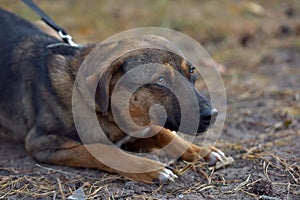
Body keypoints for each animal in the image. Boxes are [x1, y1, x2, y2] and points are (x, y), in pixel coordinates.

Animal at [0, 7, 227, 184]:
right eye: (160, 80)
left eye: (192, 71)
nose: (213, 115)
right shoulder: (42, 143)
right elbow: (106, 151)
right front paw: (150, 168)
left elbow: (166, 134)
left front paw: (201, 151)